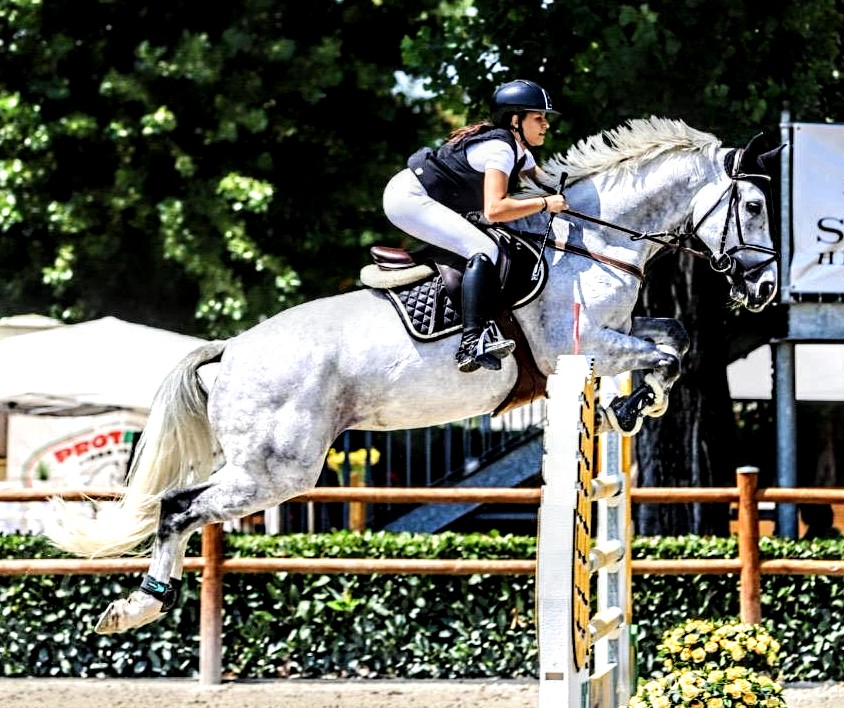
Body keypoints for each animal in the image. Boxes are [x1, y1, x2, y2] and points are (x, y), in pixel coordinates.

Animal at [45, 116, 784, 635]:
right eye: (752, 208)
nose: (767, 287)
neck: (595, 242)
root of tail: (231, 352)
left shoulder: (620, 334)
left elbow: (674, 340)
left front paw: (632, 408)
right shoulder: (575, 349)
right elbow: (669, 355)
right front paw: (632, 408)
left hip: (265, 466)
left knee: (177, 508)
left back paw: (138, 605)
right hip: (277, 468)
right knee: (177, 507)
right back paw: (140, 606)